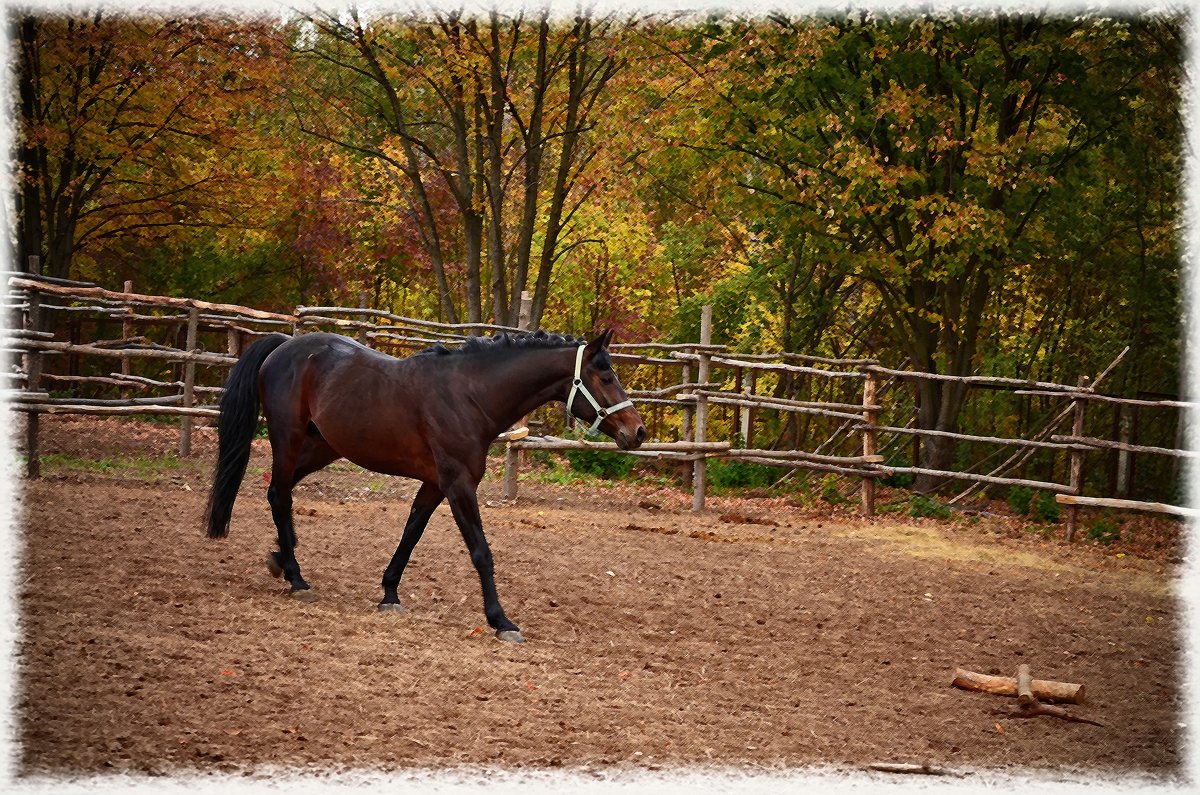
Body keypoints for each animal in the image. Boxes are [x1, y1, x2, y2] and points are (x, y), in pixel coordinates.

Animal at [204, 326, 648, 643]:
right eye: (605, 376)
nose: (638, 432)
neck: (470, 396)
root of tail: (283, 346)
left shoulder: (435, 485)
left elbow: (411, 534)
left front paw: (389, 594)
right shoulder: (458, 484)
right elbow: (481, 552)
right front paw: (501, 621)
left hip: (323, 446)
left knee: (280, 492)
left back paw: (282, 559)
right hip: (289, 440)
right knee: (279, 494)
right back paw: (296, 578)